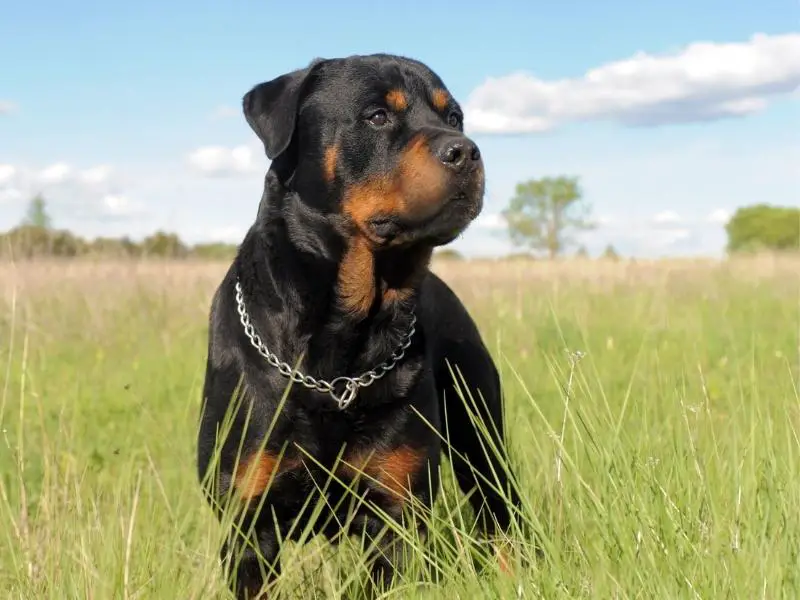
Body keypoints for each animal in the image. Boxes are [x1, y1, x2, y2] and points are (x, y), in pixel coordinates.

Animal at [197, 54, 520, 596]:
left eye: (453, 118)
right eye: (376, 116)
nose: (466, 151)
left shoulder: (395, 512)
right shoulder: (248, 521)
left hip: (481, 433)